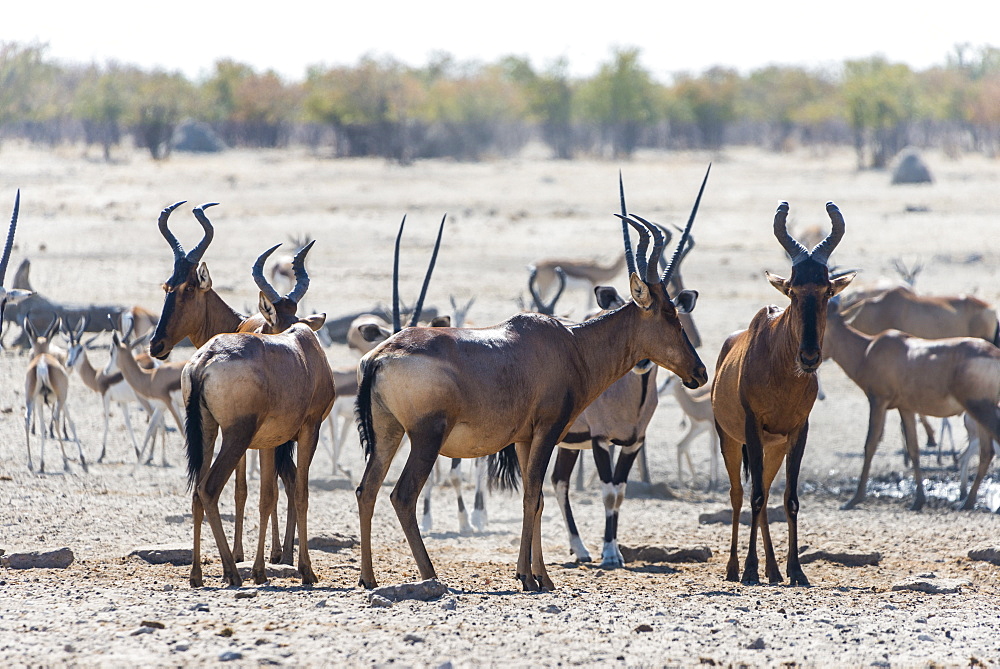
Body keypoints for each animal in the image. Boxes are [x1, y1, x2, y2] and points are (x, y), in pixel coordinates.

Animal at [25, 316, 87, 472]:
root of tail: (41, 363)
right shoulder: (63, 399)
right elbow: (71, 423)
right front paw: (82, 458)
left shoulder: (39, 402)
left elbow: (42, 426)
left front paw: (41, 462)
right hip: (60, 398)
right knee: (56, 418)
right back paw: (65, 462)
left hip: (30, 399)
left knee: (27, 420)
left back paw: (32, 464)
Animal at [356, 168, 708, 588]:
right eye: (670, 314)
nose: (699, 372)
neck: (570, 341)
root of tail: (380, 356)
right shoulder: (548, 431)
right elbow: (533, 496)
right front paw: (530, 578)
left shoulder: (526, 438)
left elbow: (535, 497)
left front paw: (540, 576)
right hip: (426, 438)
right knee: (402, 496)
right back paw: (430, 576)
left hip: (387, 434)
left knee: (367, 490)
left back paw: (369, 578)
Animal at [712, 200, 852, 584]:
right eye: (792, 290)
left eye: (826, 290)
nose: (809, 357)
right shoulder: (750, 428)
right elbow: (755, 497)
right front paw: (748, 571)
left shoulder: (798, 431)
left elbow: (789, 499)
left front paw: (797, 572)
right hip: (731, 441)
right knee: (739, 494)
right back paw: (734, 569)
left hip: (773, 448)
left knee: (765, 491)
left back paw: (773, 571)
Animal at [824, 294, 1000, 508]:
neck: (868, 349)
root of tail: (994, 354)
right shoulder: (905, 407)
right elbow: (914, 448)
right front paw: (919, 500)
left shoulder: (878, 401)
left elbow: (871, 443)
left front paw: (854, 499)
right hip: (979, 412)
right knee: (986, 452)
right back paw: (967, 502)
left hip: (981, 408)